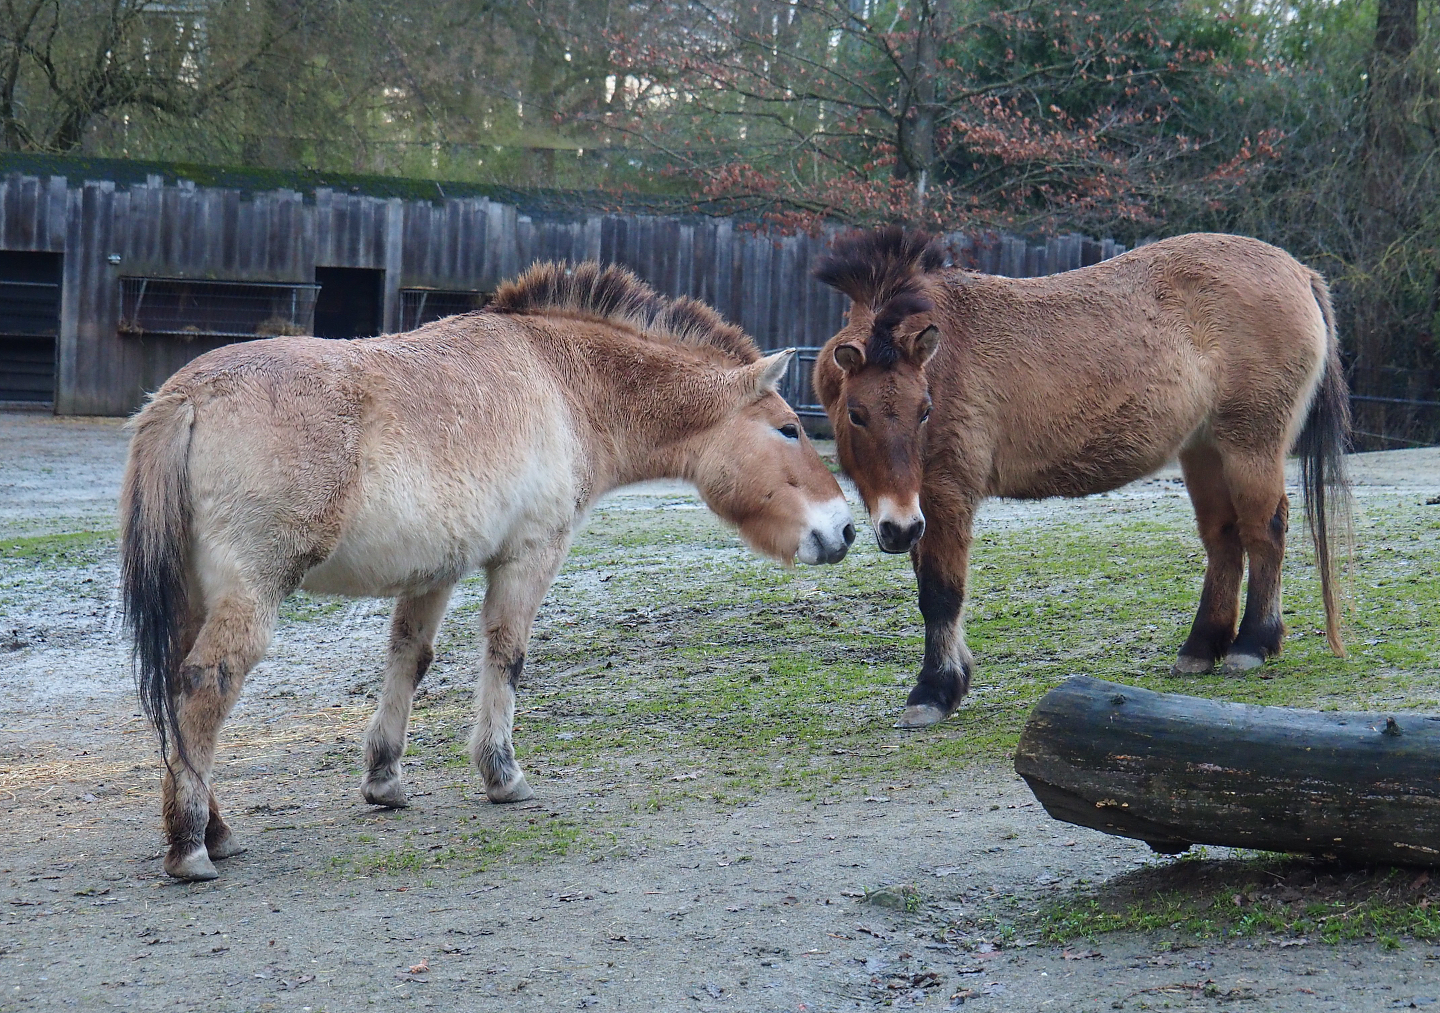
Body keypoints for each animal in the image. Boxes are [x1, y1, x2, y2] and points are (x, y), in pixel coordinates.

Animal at [121, 260, 856, 881]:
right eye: (789, 428)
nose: (845, 528)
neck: (558, 379)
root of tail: (187, 397)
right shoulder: (529, 554)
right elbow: (507, 655)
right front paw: (502, 774)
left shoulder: (433, 570)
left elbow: (408, 659)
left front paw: (385, 780)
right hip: (250, 594)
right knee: (206, 684)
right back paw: (191, 846)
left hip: (193, 597)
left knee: (180, 695)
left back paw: (215, 831)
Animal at [812, 228, 1351, 728]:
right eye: (857, 414)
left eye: (924, 410)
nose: (897, 529)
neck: (945, 361)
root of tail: (1298, 270)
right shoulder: (920, 506)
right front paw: (953, 678)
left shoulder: (945, 495)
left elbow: (941, 594)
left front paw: (934, 691)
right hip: (1203, 452)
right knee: (1224, 540)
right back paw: (1201, 648)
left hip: (1249, 446)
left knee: (1265, 532)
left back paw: (1252, 645)